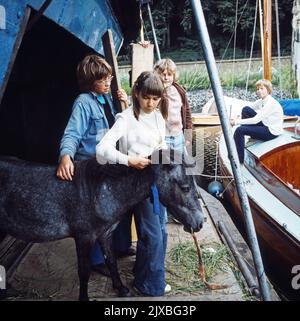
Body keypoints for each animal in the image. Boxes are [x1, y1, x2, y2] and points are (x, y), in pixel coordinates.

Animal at [0, 150, 204, 300]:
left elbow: (111, 261)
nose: (200, 222)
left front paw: (121, 289)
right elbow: (84, 272)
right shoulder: (84, 238)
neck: (99, 191)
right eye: (185, 187)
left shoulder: (105, 234)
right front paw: (84, 298)